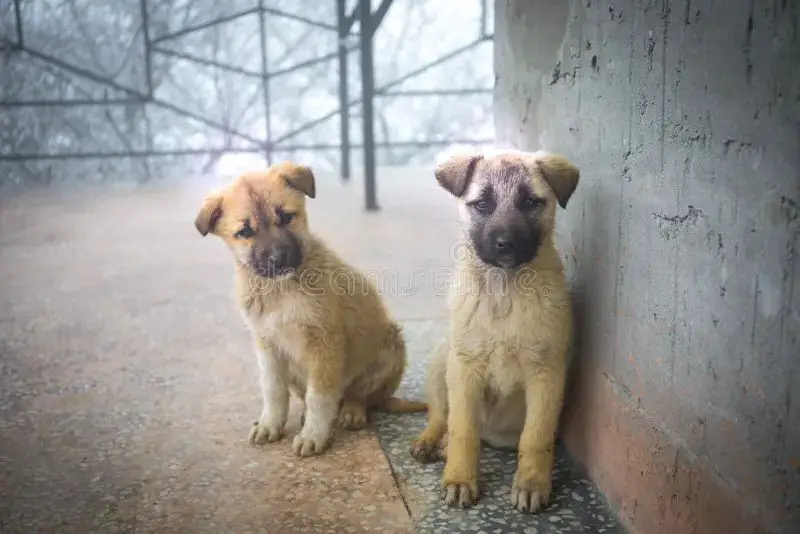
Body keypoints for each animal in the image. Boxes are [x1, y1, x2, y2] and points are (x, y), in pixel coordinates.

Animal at [195, 161, 424, 458]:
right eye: (245, 232)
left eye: (286, 217)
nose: (278, 258)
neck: (280, 289)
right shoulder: (267, 345)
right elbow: (273, 390)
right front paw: (271, 424)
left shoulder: (324, 343)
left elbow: (320, 396)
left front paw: (313, 435)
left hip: (389, 349)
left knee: (359, 394)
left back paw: (351, 411)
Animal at [410, 148, 580, 516]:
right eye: (483, 204)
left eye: (530, 202)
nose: (506, 244)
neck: (505, 292)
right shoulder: (464, 368)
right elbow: (462, 429)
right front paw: (460, 479)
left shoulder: (546, 375)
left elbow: (537, 437)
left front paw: (531, 485)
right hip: (441, 358)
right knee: (440, 415)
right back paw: (432, 441)